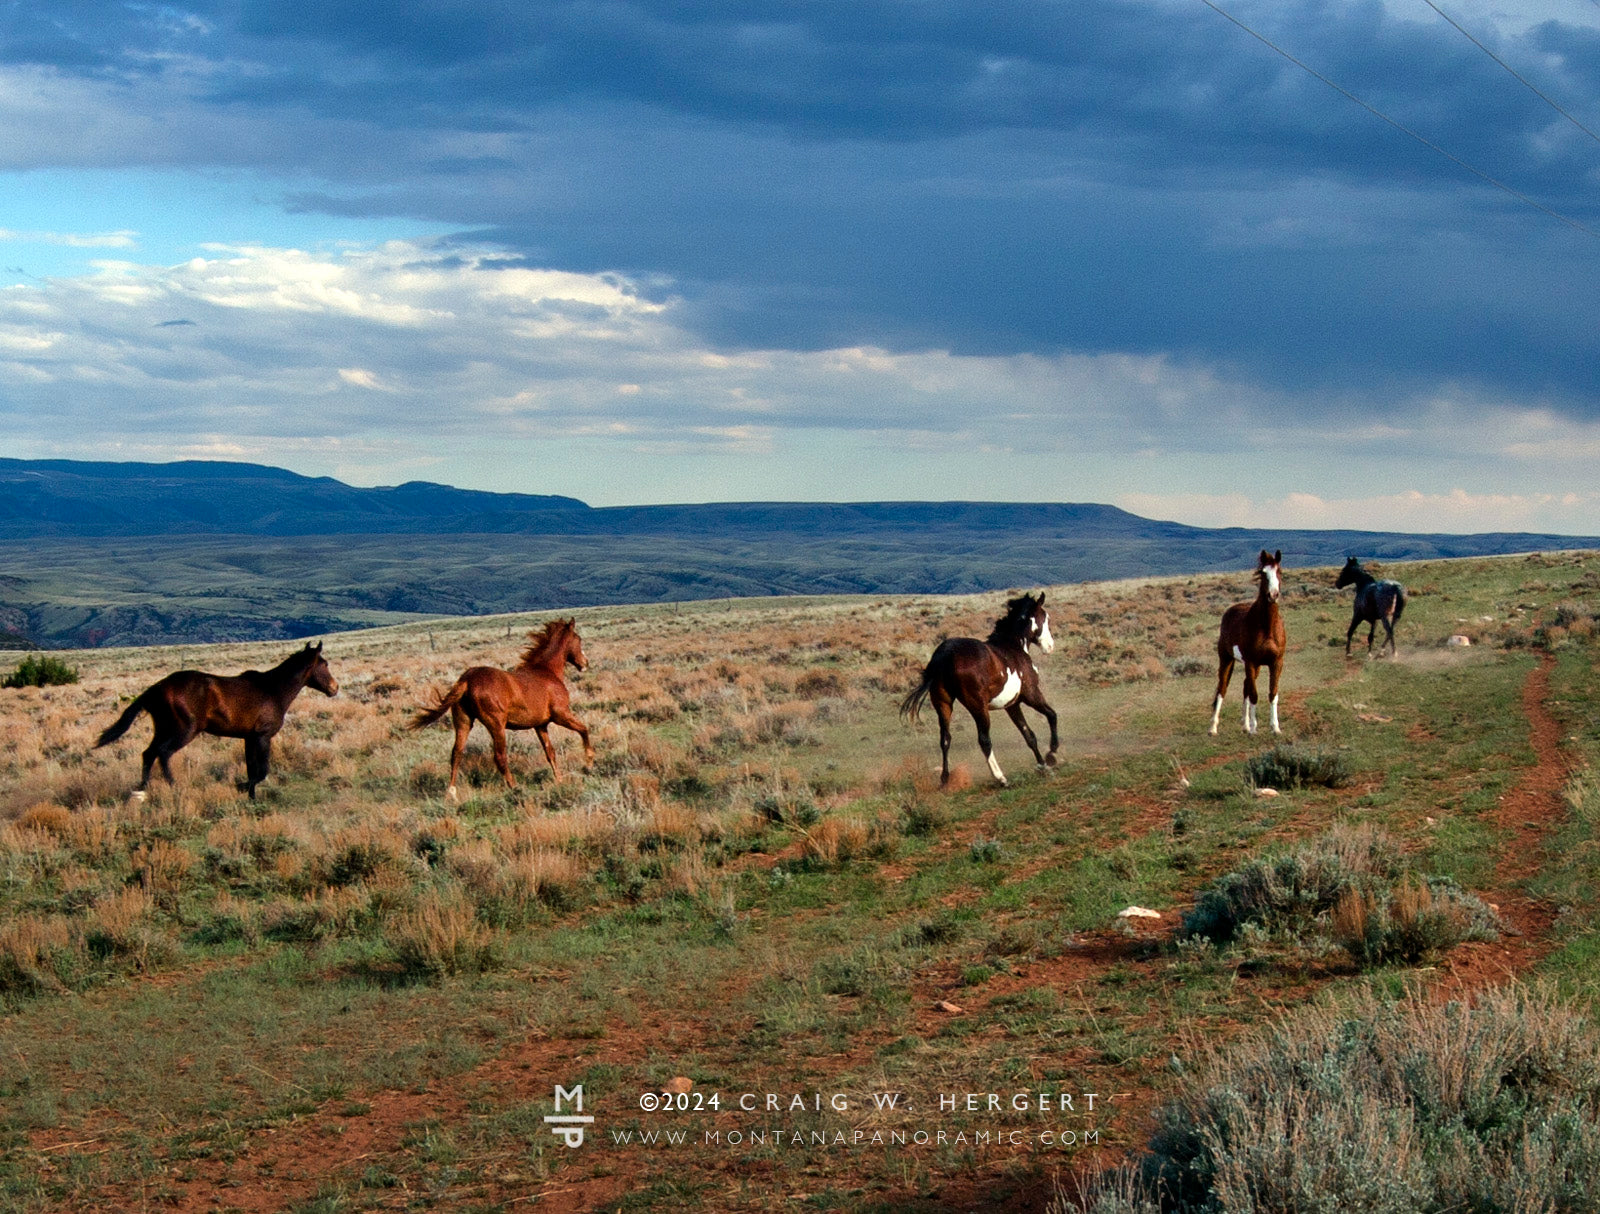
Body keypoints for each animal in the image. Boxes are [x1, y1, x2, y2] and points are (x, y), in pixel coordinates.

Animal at [95, 639, 339, 802]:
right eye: (325, 664)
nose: (335, 688)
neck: (272, 690)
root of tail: (156, 689)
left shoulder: (249, 738)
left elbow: (252, 769)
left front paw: (251, 799)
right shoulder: (263, 736)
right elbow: (262, 771)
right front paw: (241, 787)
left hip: (163, 729)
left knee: (149, 754)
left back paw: (141, 790)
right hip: (185, 731)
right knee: (163, 753)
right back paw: (174, 787)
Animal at [406, 617, 595, 796]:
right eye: (578, 639)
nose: (585, 664)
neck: (547, 672)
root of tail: (467, 680)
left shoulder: (540, 725)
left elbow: (550, 752)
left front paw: (560, 780)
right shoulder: (560, 714)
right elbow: (584, 730)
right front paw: (589, 763)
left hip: (463, 722)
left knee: (456, 754)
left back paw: (451, 793)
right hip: (496, 725)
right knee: (500, 757)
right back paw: (515, 788)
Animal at [902, 591, 1062, 786]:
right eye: (1045, 617)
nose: (1050, 646)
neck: (1013, 647)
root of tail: (944, 656)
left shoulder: (1012, 704)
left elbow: (1029, 735)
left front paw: (1042, 765)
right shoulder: (1031, 694)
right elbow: (1052, 715)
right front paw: (1051, 755)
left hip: (943, 703)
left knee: (945, 739)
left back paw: (945, 780)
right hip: (978, 707)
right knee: (984, 740)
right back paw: (1001, 778)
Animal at [1209, 553, 1286, 742]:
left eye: (1279, 571)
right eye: (1263, 573)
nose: (1273, 595)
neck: (1266, 627)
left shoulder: (1276, 662)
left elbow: (1272, 693)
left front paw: (1275, 728)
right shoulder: (1251, 662)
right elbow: (1254, 695)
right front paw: (1254, 728)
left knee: (1245, 686)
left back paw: (1244, 725)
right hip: (1227, 660)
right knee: (1222, 688)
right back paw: (1213, 728)